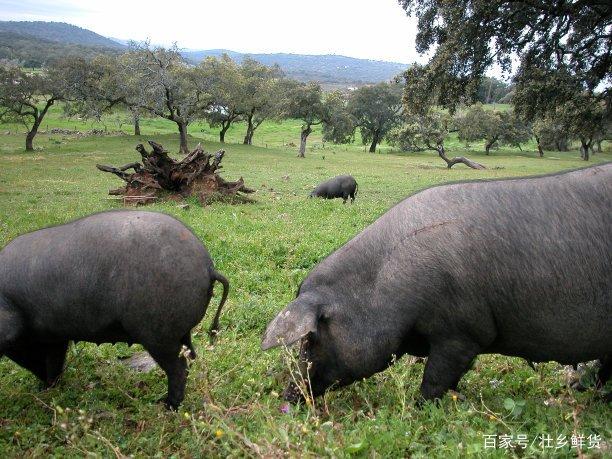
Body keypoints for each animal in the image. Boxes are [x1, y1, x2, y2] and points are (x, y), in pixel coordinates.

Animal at [262, 164, 612, 404]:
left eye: (310, 340)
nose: (289, 395)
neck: (386, 286)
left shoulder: (463, 332)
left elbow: (435, 380)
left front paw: (422, 408)